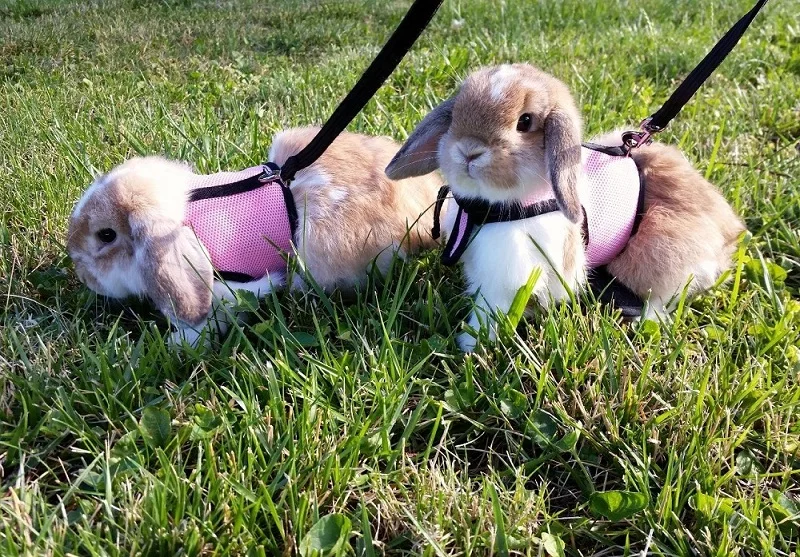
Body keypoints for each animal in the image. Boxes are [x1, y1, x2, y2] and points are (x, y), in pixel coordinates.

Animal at [385, 63, 745, 352]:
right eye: (457, 112)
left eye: (525, 122)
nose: (468, 151)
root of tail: (730, 232)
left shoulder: (506, 279)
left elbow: (491, 311)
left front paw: (472, 343)